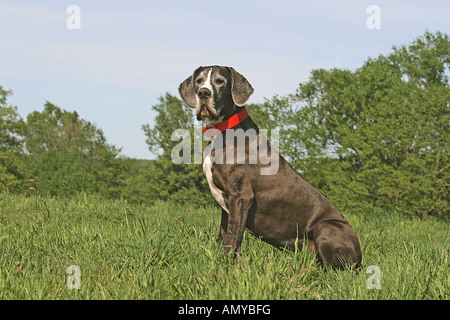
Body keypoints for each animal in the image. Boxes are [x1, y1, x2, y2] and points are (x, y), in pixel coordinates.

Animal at [179, 66, 362, 268]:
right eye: (199, 81)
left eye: (220, 81)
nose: (203, 93)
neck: (222, 132)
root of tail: (360, 256)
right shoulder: (227, 204)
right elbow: (224, 237)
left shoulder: (241, 196)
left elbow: (233, 239)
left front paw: (226, 268)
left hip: (326, 226)